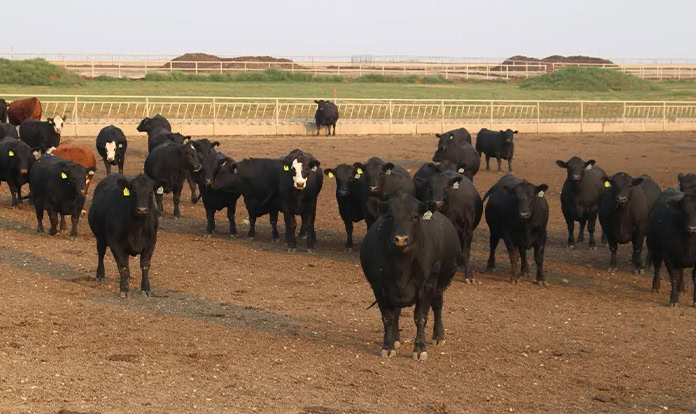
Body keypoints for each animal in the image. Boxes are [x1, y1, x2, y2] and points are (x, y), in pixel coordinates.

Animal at [360, 192, 460, 360]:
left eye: (414, 217)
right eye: (390, 216)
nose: (401, 239)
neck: (402, 266)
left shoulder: (427, 286)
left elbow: (420, 318)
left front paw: (420, 349)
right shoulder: (379, 287)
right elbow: (388, 317)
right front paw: (387, 346)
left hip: (439, 285)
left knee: (437, 306)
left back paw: (438, 336)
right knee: (396, 313)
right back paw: (395, 340)